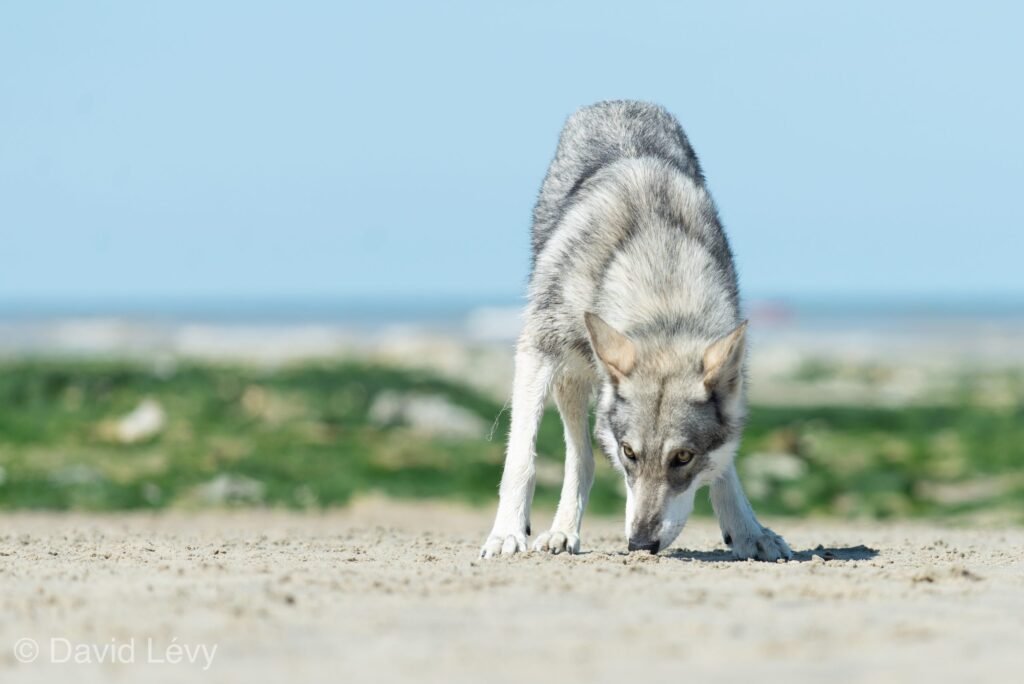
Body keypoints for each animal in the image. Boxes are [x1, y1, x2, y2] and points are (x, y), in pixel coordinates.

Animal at [481, 101, 792, 560]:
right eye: (629, 453)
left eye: (683, 457)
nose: (640, 544)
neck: (662, 290)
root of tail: (618, 101)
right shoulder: (537, 350)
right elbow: (522, 457)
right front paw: (507, 533)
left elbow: (725, 466)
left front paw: (749, 532)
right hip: (570, 372)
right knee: (582, 457)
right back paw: (562, 532)